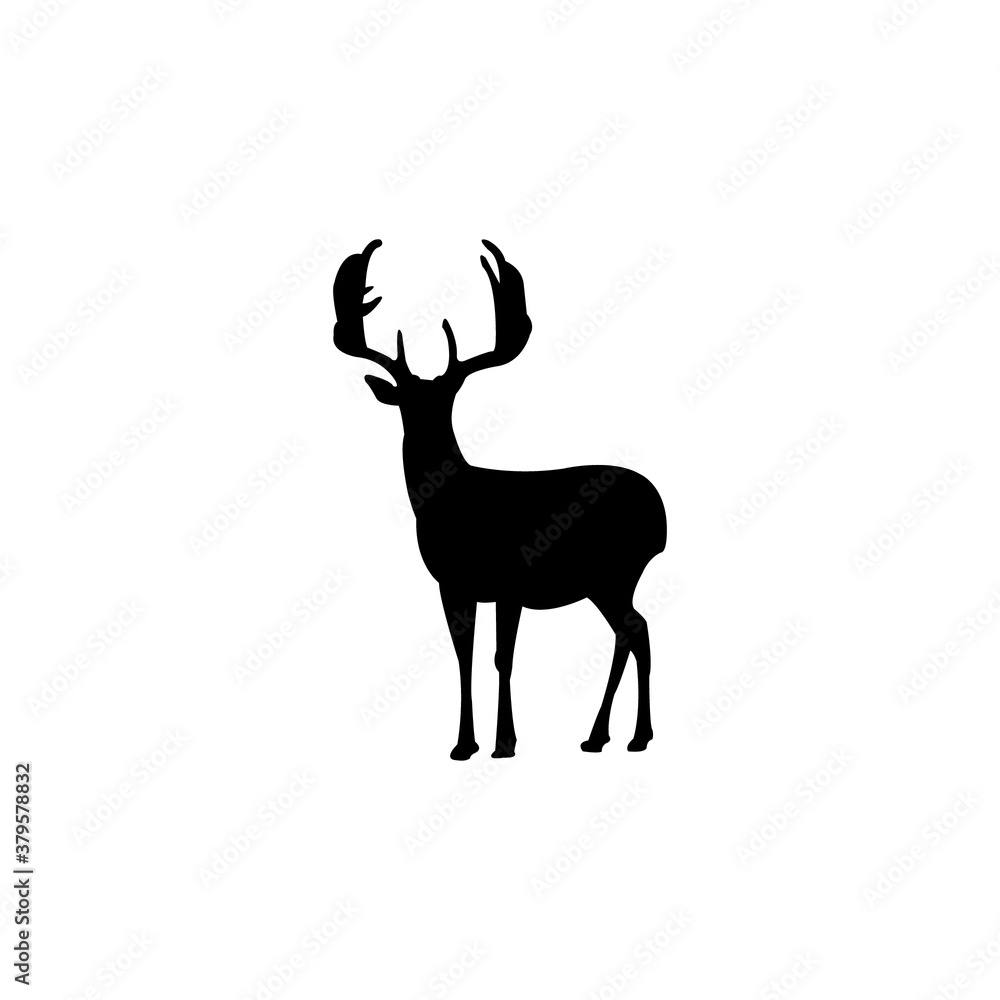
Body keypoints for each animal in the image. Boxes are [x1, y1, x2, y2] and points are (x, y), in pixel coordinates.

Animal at [333, 240, 667, 759]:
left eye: (449, 397)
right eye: (405, 400)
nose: (424, 431)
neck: (454, 506)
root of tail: (661, 514)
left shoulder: (511, 578)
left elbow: (501, 657)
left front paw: (505, 742)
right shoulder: (453, 584)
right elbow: (464, 657)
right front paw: (463, 744)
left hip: (616, 568)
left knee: (637, 631)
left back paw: (632, 736)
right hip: (606, 579)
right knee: (631, 632)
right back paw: (603, 736)